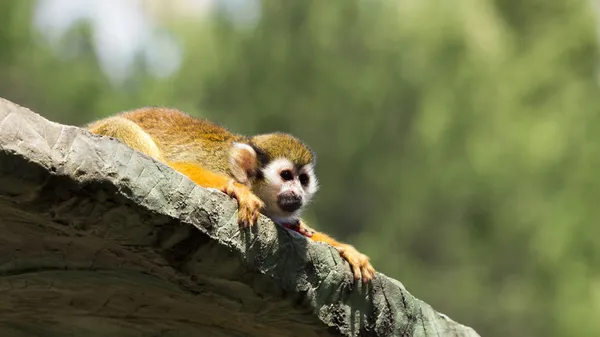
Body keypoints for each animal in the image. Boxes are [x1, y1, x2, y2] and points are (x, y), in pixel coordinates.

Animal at [86, 107, 376, 280]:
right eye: (286, 176)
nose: (297, 193)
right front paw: (236, 189)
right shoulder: (218, 166)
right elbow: (179, 167)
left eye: (303, 180)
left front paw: (343, 248)